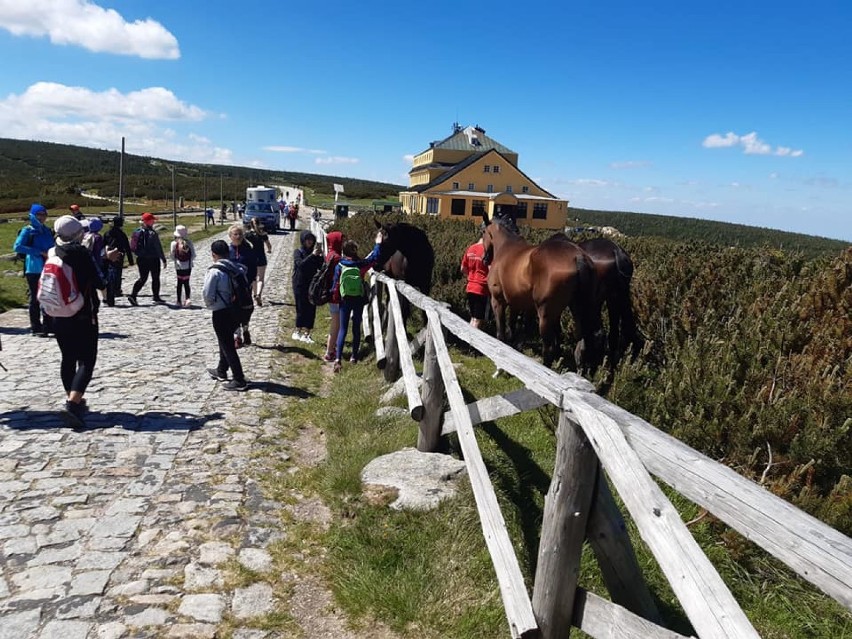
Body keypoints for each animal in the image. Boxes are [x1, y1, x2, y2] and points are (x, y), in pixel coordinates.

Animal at [482, 215, 604, 368]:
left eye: (483, 232)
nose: (485, 259)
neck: (506, 247)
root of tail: (578, 257)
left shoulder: (498, 301)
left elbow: (501, 332)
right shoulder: (518, 304)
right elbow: (515, 328)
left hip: (545, 316)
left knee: (548, 348)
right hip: (576, 310)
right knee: (581, 344)